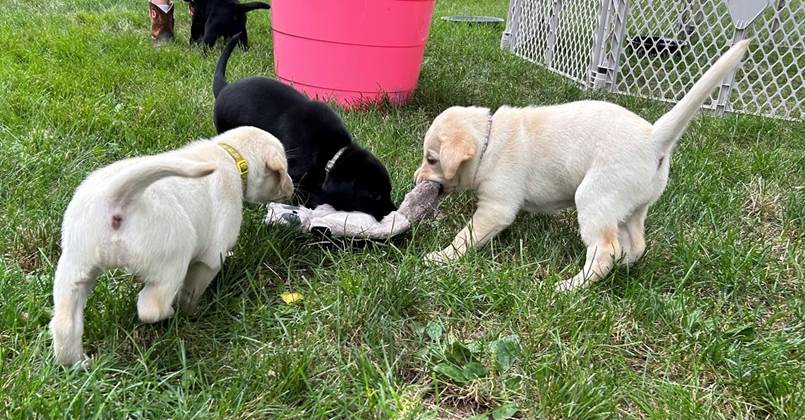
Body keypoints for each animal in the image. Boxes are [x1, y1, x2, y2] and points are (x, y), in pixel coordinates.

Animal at [49, 126, 292, 366]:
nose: (292, 188)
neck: (229, 154)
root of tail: (117, 197)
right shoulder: (211, 258)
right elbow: (192, 291)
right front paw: (190, 311)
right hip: (173, 257)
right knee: (151, 307)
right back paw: (170, 313)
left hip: (74, 267)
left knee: (64, 324)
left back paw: (78, 363)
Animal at [212, 34, 398, 221]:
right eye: (374, 195)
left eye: (388, 190)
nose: (393, 212)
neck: (332, 154)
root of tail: (224, 87)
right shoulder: (296, 174)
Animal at [418, 41, 752, 292]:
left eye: (431, 159)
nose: (416, 177)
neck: (489, 139)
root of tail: (653, 138)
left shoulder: (496, 206)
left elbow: (467, 235)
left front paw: (442, 257)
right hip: (631, 208)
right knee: (635, 245)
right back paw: (620, 267)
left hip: (595, 197)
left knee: (604, 250)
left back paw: (570, 287)